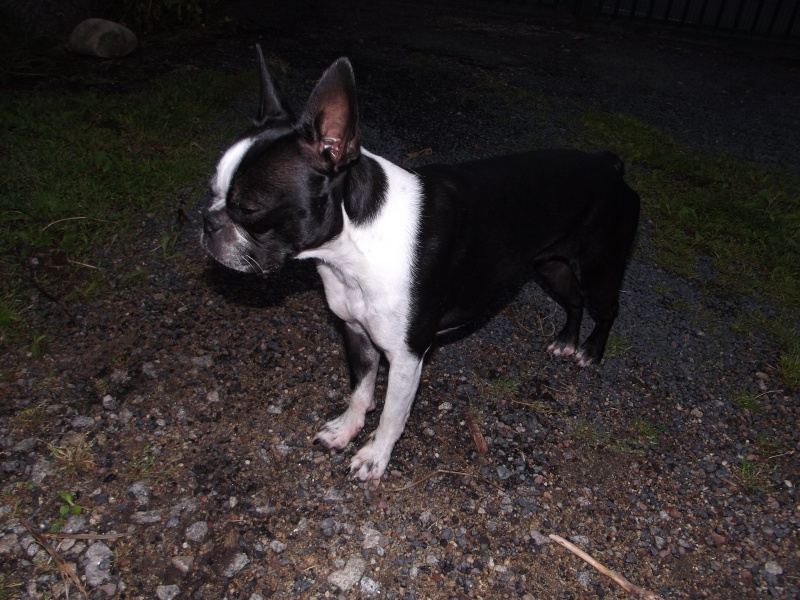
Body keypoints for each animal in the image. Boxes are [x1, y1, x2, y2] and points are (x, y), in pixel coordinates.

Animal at [203, 47, 640, 480]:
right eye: (212, 190)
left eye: (249, 207)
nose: (207, 222)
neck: (354, 246)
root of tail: (609, 163)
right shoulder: (355, 332)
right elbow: (360, 389)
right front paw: (347, 429)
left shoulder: (407, 357)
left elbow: (392, 415)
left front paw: (375, 456)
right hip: (551, 266)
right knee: (573, 300)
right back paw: (567, 340)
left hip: (599, 268)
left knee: (607, 307)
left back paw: (590, 350)